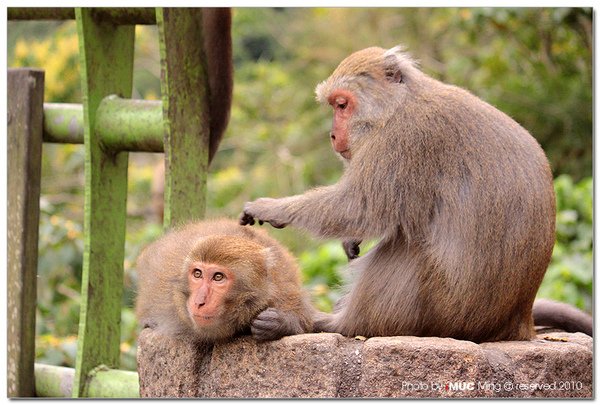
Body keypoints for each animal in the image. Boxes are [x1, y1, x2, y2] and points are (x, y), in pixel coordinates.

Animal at [240, 45, 592, 340]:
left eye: (342, 104)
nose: (332, 135)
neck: (397, 106)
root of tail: (518, 321)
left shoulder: (405, 139)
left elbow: (360, 207)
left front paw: (271, 208)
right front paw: (350, 239)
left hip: (445, 314)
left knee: (408, 248)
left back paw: (321, 323)